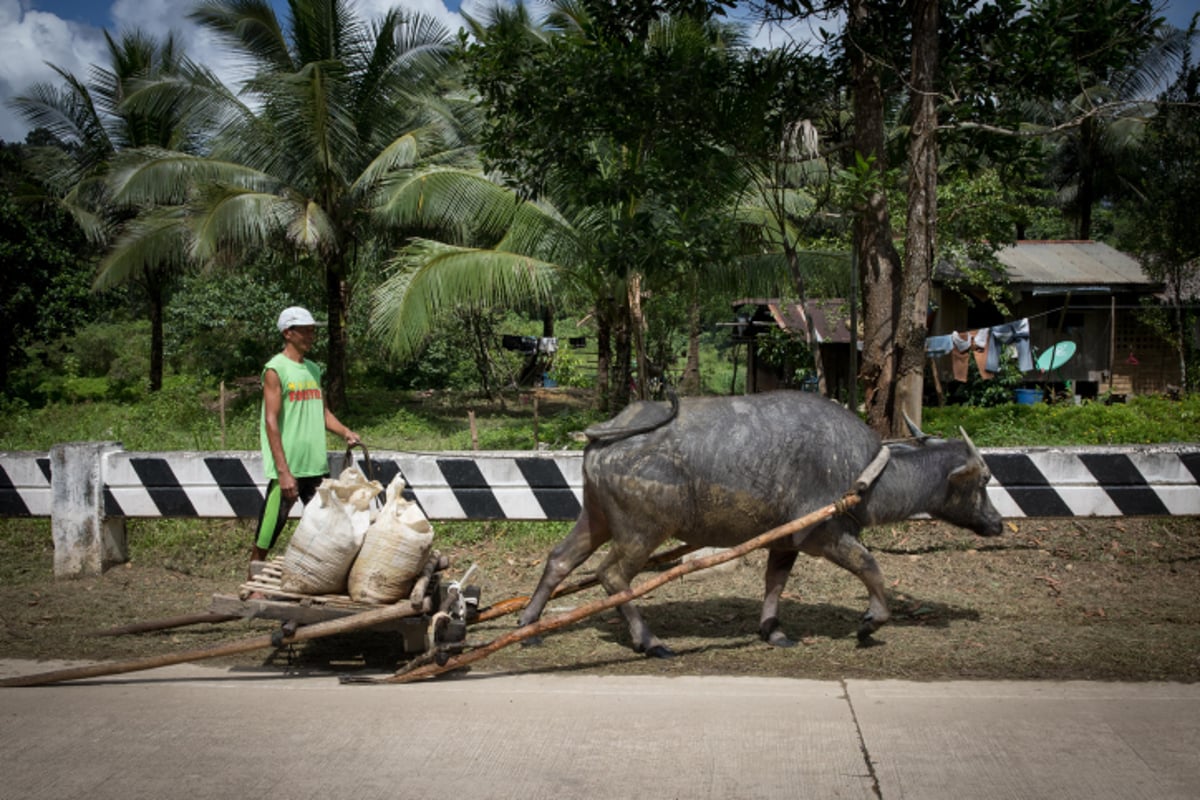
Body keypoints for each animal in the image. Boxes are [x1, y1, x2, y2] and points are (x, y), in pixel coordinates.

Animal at [518, 388, 1003, 657]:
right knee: (612, 575)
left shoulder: (784, 540)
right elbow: (870, 567)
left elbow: (775, 582)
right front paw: (871, 623)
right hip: (643, 530)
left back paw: (528, 626)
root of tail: (610, 429)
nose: (997, 523)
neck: (868, 470)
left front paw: (773, 630)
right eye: (983, 480)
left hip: (596, 516)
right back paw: (649, 641)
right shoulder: (824, 534)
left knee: (560, 560)